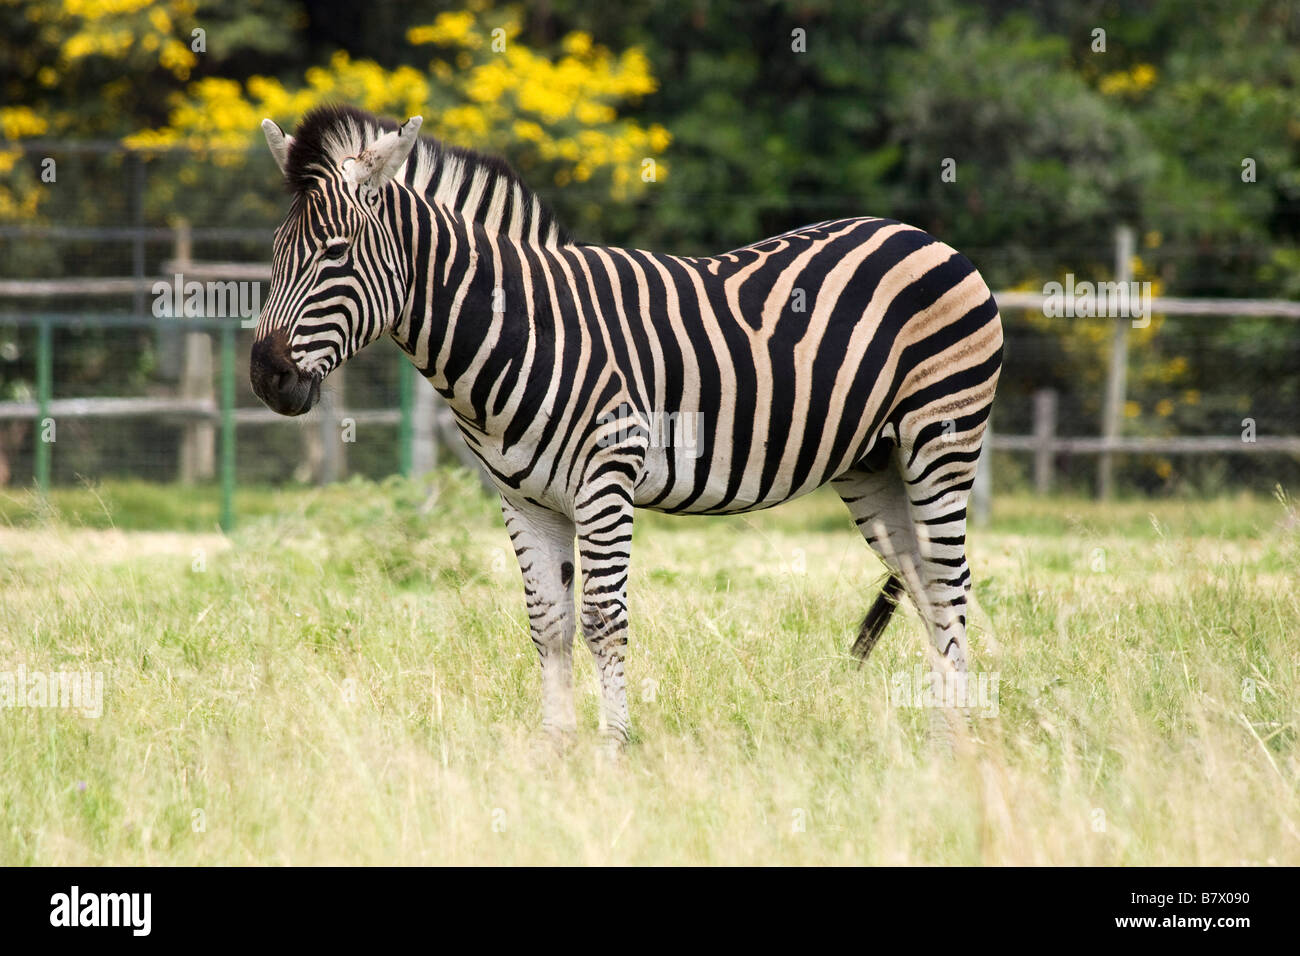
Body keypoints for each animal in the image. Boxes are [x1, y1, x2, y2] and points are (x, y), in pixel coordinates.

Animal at [250, 105, 1004, 748]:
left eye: (336, 253)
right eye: (276, 251)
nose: (266, 377)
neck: (521, 331)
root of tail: (924, 236)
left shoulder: (606, 476)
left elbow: (602, 620)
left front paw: (614, 748)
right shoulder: (523, 497)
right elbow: (548, 623)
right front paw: (554, 751)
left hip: (941, 442)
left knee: (953, 584)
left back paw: (955, 749)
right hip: (874, 465)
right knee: (927, 587)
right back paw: (939, 737)